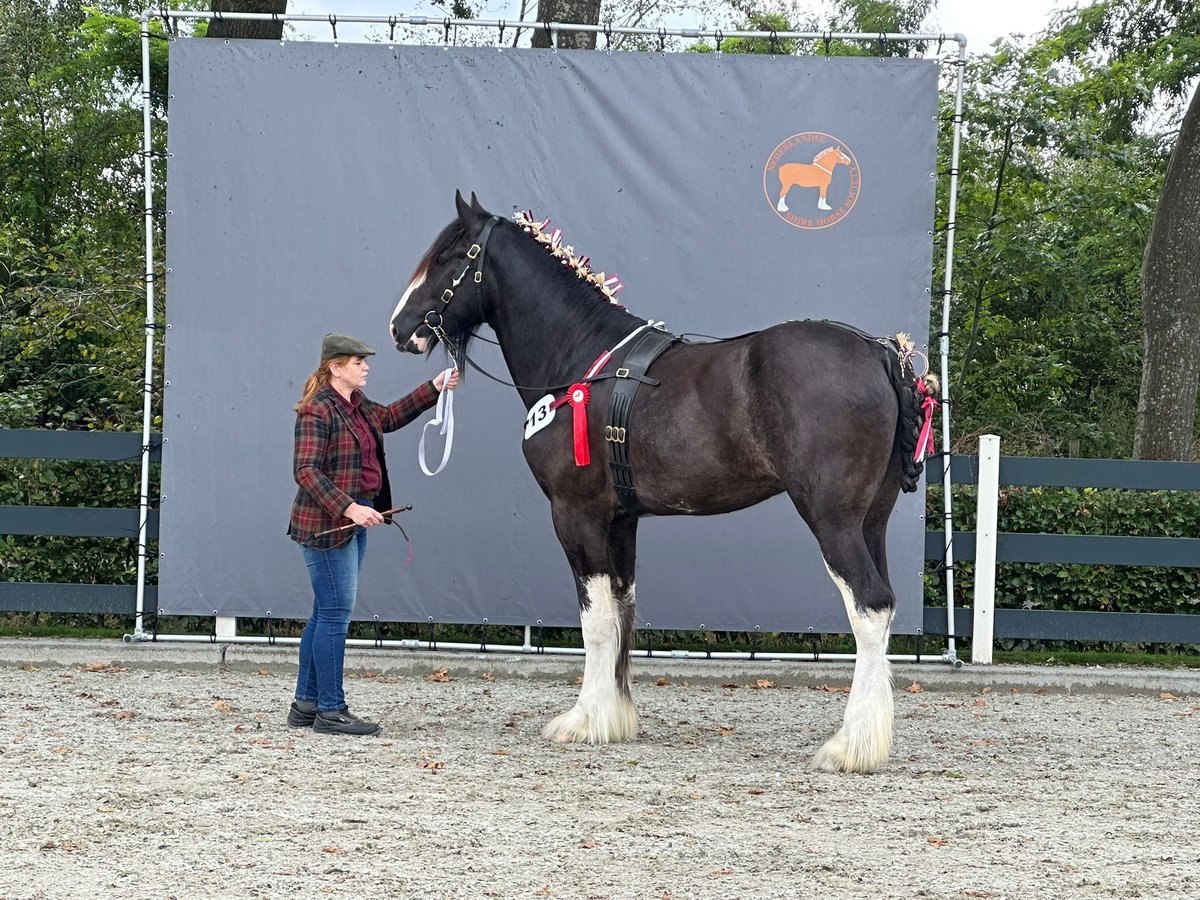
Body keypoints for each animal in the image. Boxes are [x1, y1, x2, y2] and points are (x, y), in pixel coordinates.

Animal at [389, 191, 936, 774]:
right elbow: (623, 609)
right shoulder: (621, 520)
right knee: (883, 604)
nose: (399, 328)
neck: (582, 362)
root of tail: (881, 352)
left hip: (833, 520)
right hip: (871, 521)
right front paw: (615, 719)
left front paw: (582, 720)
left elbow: (596, 621)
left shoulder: (575, 514)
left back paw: (848, 746)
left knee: (868, 608)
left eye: (447, 257)